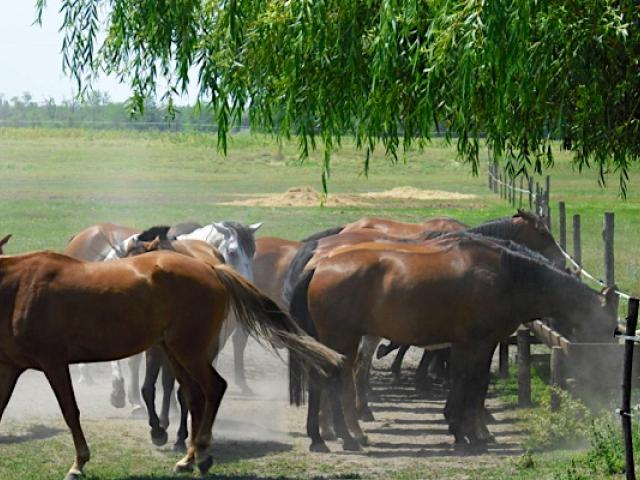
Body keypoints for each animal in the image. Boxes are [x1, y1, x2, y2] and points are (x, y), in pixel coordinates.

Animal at [0, 249, 342, 478]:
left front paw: (79, 463)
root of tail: (210, 267)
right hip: (175, 353)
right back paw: (189, 458)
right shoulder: (10, 367)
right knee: (194, 396)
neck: (18, 288)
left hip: (187, 350)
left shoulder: (54, 363)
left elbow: (70, 412)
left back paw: (200, 454)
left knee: (214, 388)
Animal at [288, 234, 616, 452]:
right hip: (342, 339)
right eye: (608, 327)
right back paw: (344, 436)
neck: (506, 276)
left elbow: (466, 383)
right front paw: (469, 434)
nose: (604, 368)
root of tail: (319, 265)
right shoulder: (479, 344)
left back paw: (322, 437)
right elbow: (473, 384)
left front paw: (463, 428)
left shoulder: (467, 345)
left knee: (321, 382)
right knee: (331, 381)